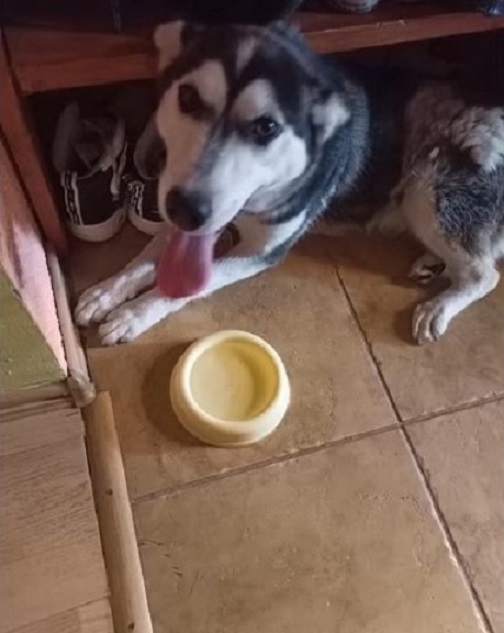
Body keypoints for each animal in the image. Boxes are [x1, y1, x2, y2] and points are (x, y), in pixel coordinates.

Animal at [76, 22, 504, 346]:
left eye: (267, 127)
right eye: (188, 98)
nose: (188, 208)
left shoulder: (262, 251)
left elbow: (190, 282)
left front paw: (133, 314)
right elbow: (143, 259)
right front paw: (107, 292)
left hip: (425, 190)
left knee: (484, 274)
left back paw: (438, 306)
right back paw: (432, 262)